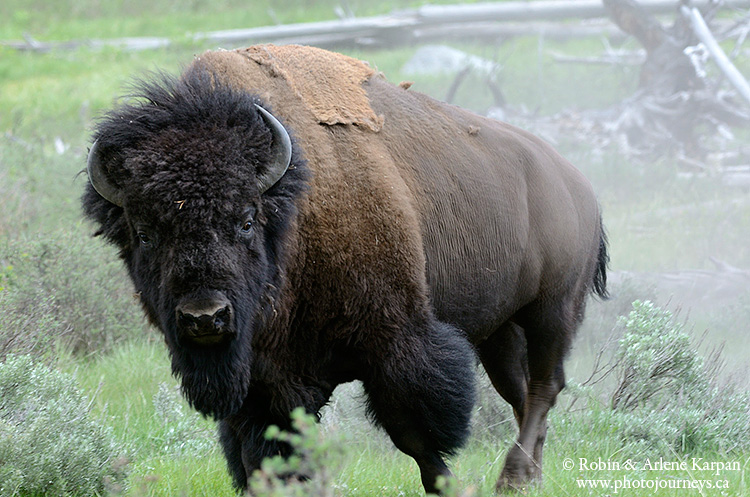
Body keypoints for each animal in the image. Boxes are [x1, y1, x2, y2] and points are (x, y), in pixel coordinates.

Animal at [82, 44, 608, 494]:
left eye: (246, 220)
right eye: (144, 233)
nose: (205, 317)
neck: (293, 213)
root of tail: (578, 184)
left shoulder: (394, 343)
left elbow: (414, 435)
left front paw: (449, 485)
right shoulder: (264, 384)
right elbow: (264, 457)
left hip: (553, 310)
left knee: (543, 387)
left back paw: (513, 478)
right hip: (498, 330)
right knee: (520, 393)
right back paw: (532, 476)